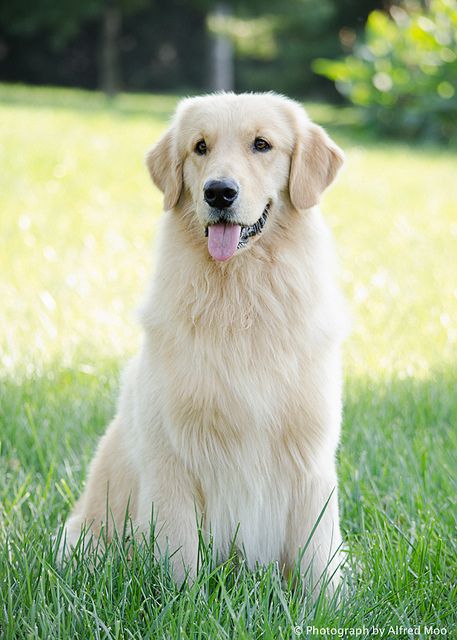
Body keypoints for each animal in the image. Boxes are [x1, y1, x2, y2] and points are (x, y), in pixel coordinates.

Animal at [60, 91, 348, 596]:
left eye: (261, 144)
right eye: (200, 147)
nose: (219, 192)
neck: (241, 299)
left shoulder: (310, 459)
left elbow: (318, 558)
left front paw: (327, 606)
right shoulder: (172, 459)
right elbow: (180, 557)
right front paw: (183, 602)